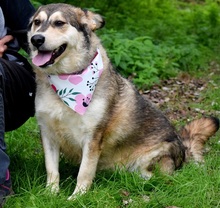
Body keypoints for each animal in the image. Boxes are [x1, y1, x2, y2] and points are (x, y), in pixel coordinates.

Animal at [27, 2, 218, 200]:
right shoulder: (48, 133)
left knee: (156, 178)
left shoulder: (92, 138)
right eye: (36, 22)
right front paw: (50, 193)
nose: (36, 39)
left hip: (152, 159)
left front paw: (77, 197)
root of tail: (183, 149)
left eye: (59, 23)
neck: (67, 80)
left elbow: (84, 172)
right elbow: (52, 170)